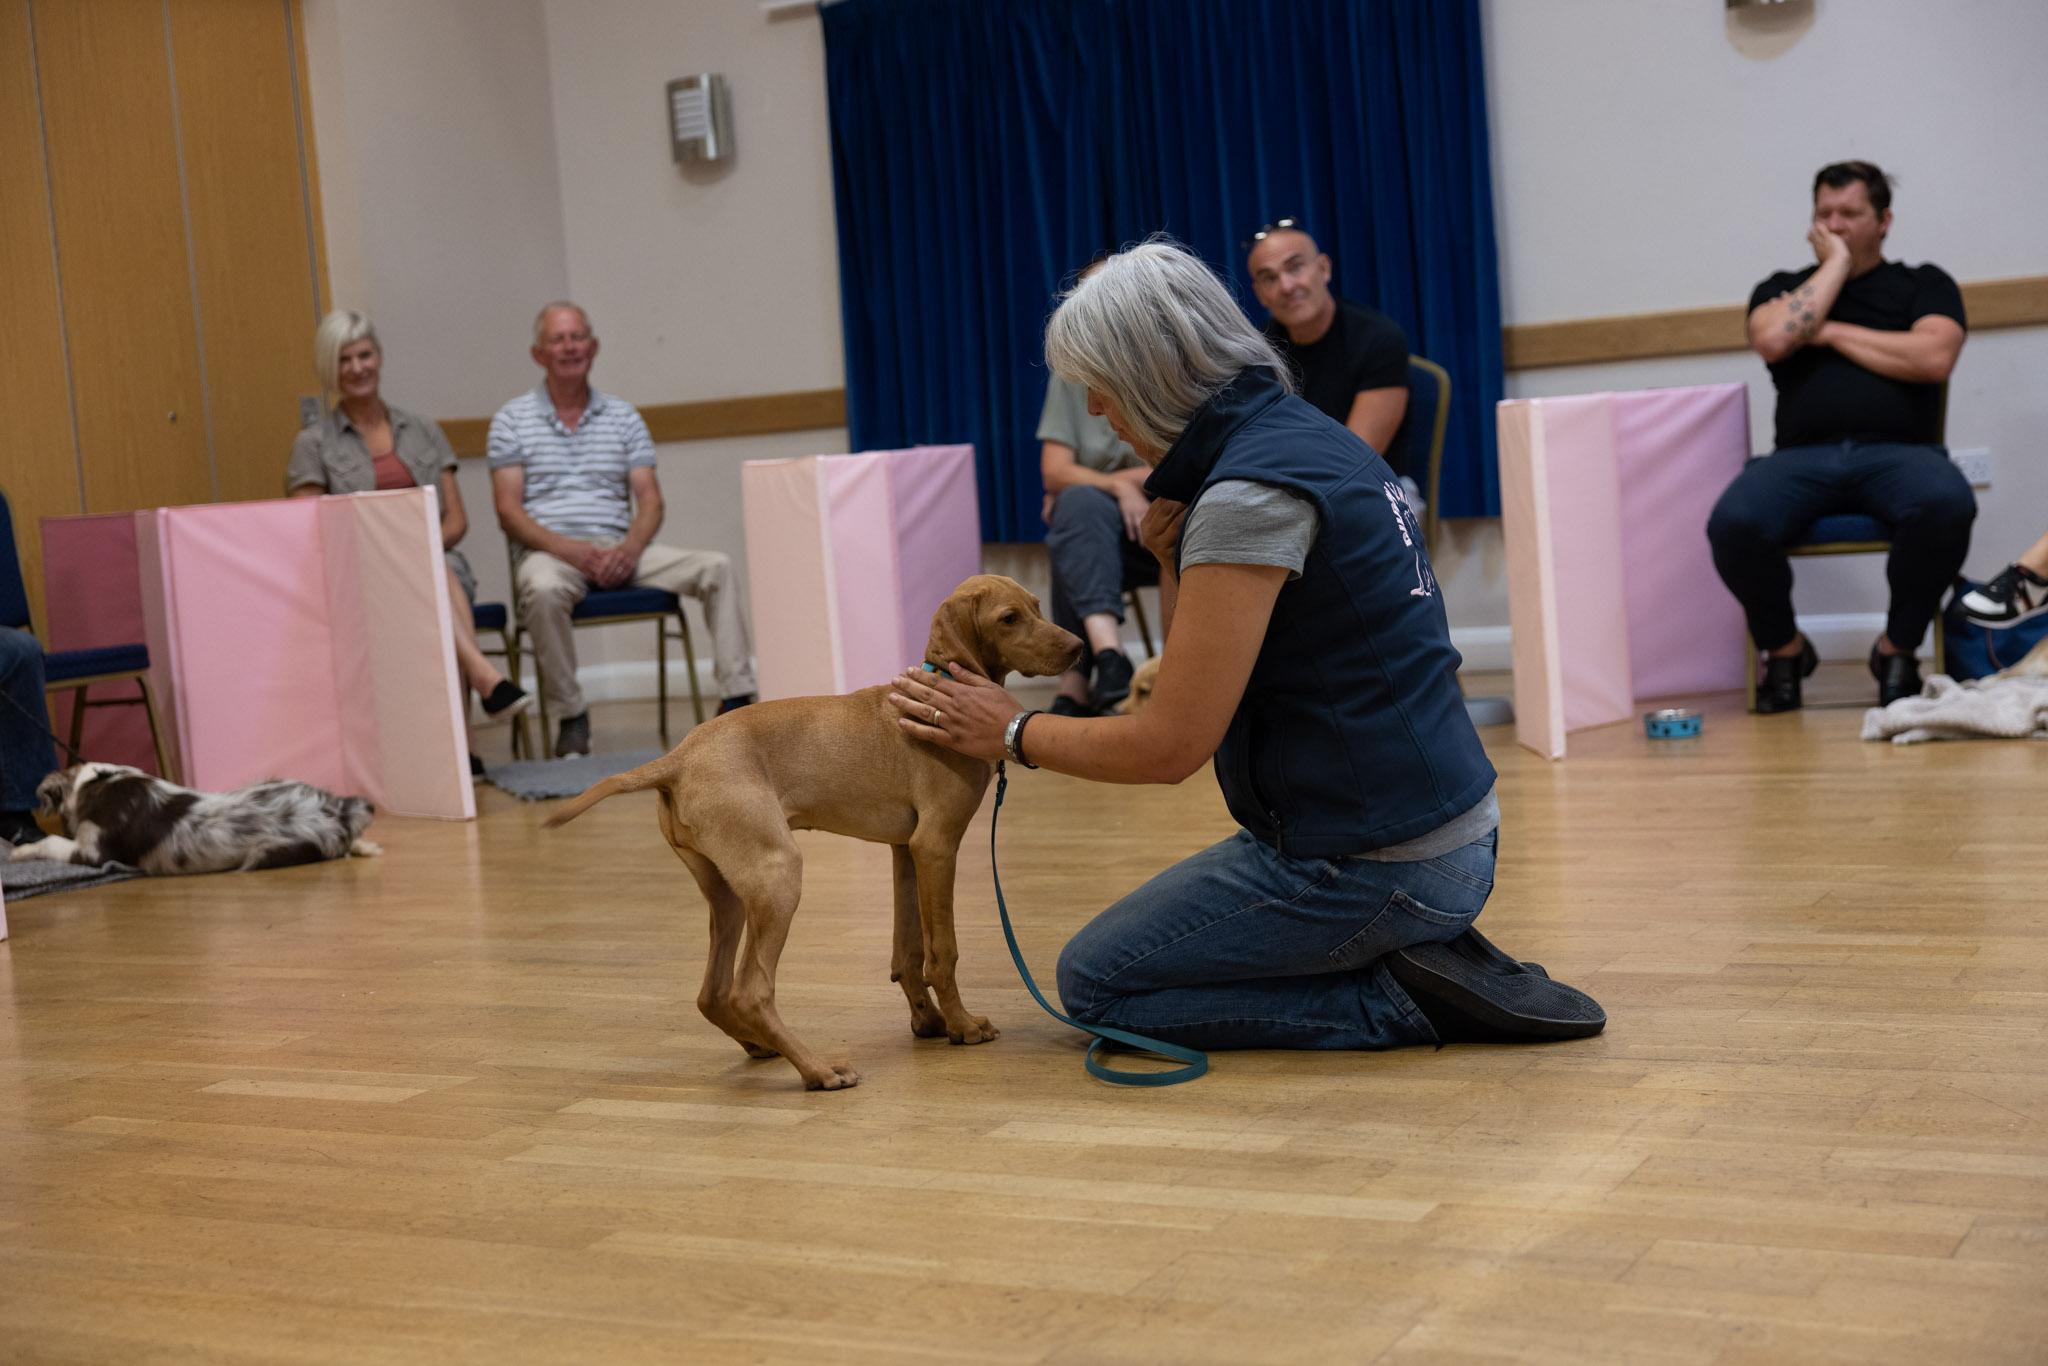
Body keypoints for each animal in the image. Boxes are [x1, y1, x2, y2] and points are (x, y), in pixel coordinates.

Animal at [12, 757, 378, 876]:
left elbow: (50, 841)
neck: (98, 782)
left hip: (269, 852)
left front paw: (18, 852)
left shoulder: (94, 851)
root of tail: (337, 810)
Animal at [544, 573, 1089, 1089]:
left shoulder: (906, 850)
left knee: (712, 993)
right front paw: (962, 1025)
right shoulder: (936, 846)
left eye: (1037, 607)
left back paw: (761, 1044)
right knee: (751, 991)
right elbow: (944, 951)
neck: (935, 698)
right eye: (1009, 618)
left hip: (730, 892)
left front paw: (928, 1021)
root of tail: (677, 758)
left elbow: (908, 950)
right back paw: (818, 1070)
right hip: (777, 874)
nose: (1077, 647)